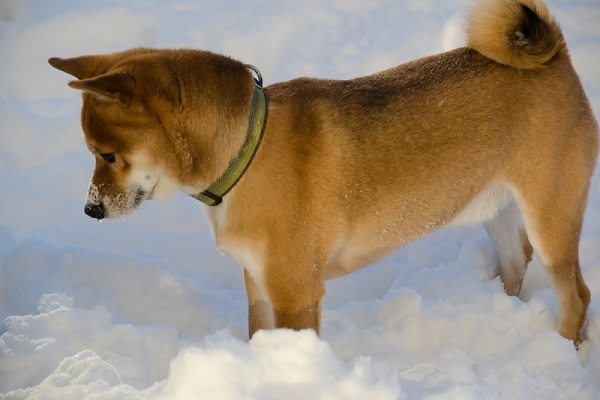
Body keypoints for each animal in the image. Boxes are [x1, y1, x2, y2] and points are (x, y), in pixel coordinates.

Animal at [50, 0, 596, 344]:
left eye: (107, 154)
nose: (90, 210)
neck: (246, 151)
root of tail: (558, 57)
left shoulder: (296, 294)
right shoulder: (258, 284)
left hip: (551, 217)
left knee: (576, 296)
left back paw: (564, 348)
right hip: (496, 210)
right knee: (516, 262)